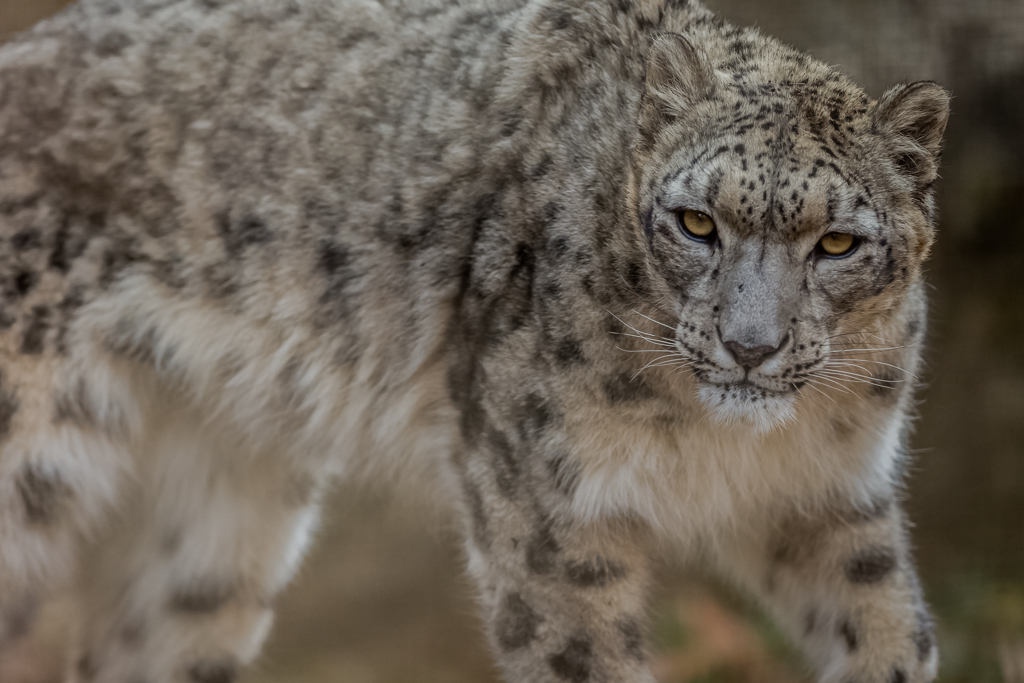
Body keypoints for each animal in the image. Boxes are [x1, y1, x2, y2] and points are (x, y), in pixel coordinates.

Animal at [0, 0, 946, 679]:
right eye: (696, 222)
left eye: (836, 243)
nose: (750, 346)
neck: (727, 442)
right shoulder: (547, 505)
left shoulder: (829, 496)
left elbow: (896, 633)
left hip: (210, 526)